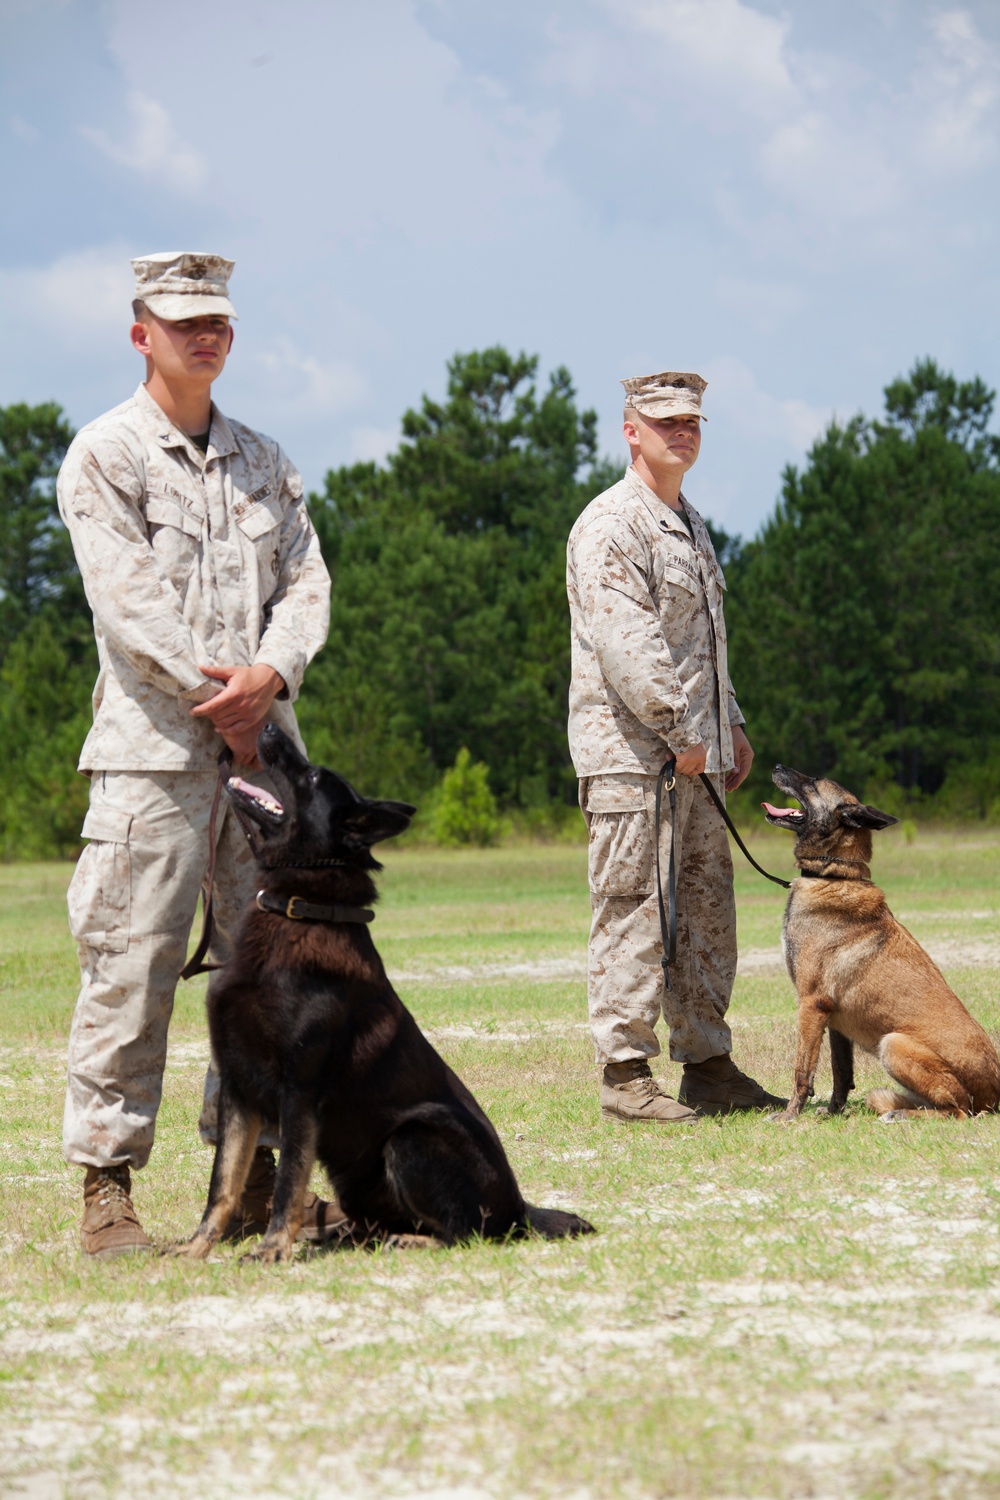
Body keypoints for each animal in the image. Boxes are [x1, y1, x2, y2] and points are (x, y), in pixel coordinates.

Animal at [175, 720, 590, 1260]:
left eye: (311, 776)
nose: (264, 726)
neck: (300, 909)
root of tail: (520, 1209)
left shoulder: (299, 1092)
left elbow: (287, 1180)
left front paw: (272, 1248)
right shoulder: (237, 1088)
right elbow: (222, 1182)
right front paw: (197, 1247)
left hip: (412, 1135)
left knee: (463, 1234)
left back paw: (404, 1239)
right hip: (357, 1175)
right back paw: (345, 1234)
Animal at [761, 768, 995, 1122]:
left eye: (813, 781)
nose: (775, 766)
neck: (834, 876)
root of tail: (995, 1094)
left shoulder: (812, 1005)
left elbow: (802, 1071)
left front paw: (790, 1116)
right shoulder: (834, 1020)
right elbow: (841, 1073)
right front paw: (833, 1112)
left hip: (894, 1044)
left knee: (957, 1110)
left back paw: (900, 1115)